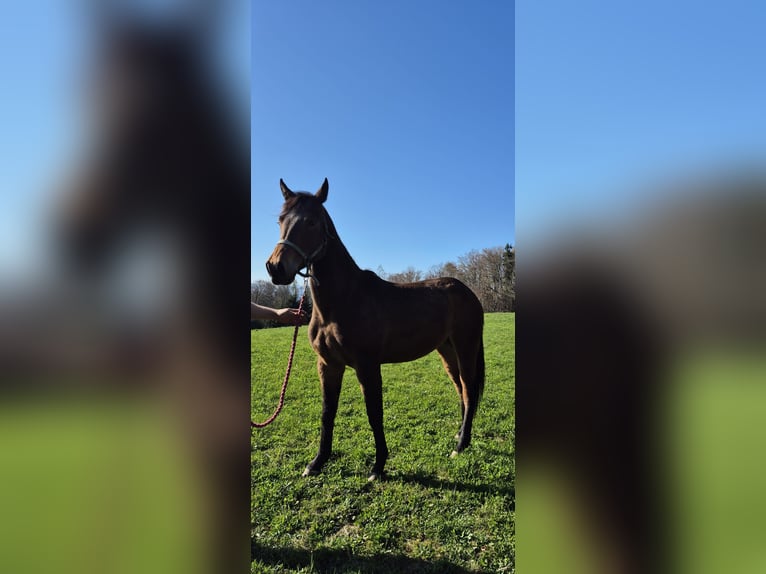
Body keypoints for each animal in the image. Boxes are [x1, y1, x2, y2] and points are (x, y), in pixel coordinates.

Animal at [266, 178, 485, 481]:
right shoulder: (328, 365)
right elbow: (327, 413)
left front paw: (378, 466)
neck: (343, 300)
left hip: (466, 348)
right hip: (447, 350)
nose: (276, 268)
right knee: (461, 389)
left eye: (311, 222)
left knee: (469, 389)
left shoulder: (367, 365)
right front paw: (317, 462)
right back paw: (460, 436)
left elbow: (374, 413)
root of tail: (468, 292)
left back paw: (461, 445)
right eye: (280, 220)